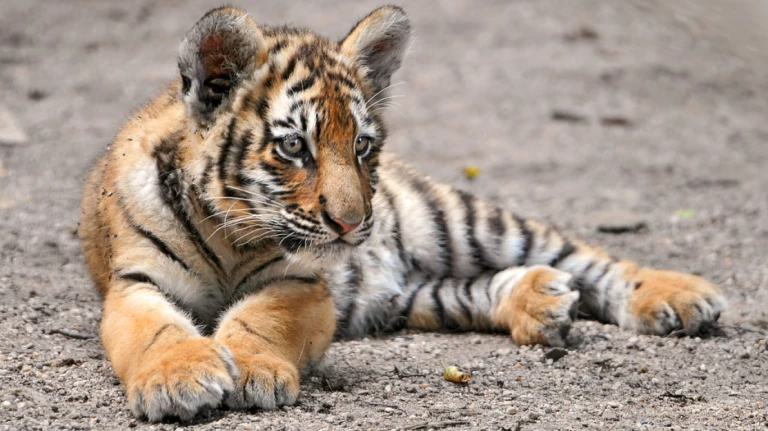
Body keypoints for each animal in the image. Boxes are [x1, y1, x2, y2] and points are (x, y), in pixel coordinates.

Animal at [78, 5, 727, 422]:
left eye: (362, 145)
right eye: (294, 147)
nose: (350, 224)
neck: (228, 232)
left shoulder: (301, 284)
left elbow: (260, 318)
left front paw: (253, 371)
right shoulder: (135, 282)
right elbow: (156, 329)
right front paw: (178, 379)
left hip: (458, 220)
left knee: (588, 258)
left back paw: (678, 297)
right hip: (414, 296)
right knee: (481, 289)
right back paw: (541, 303)